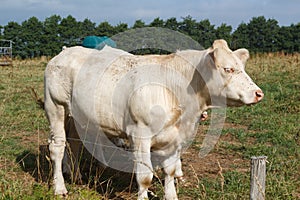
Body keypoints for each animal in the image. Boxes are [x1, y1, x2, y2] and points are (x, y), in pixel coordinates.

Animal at [44, 39, 262, 198]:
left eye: (241, 67)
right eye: (228, 69)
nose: (258, 93)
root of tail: (65, 52)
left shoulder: (176, 138)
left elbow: (170, 172)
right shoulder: (140, 135)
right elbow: (145, 177)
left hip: (77, 115)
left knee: (74, 143)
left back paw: (75, 175)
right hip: (56, 106)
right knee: (57, 147)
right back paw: (59, 187)